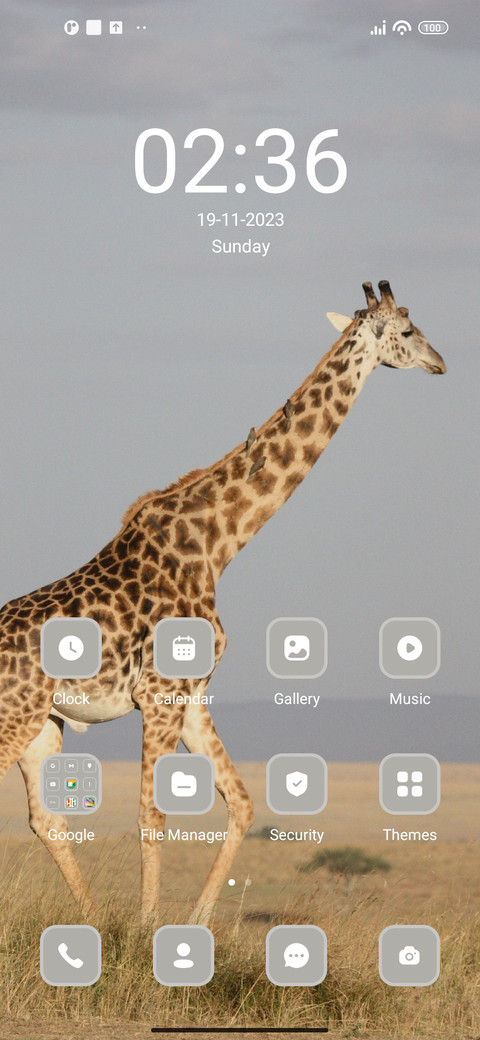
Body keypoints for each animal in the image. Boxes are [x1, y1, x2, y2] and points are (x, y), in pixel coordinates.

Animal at [0, 281, 446, 927]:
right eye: (409, 331)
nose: (441, 363)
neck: (219, 543)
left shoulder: (192, 697)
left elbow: (241, 803)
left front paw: (194, 925)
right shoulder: (159, 694)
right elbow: (152, 813)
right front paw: (147, 930)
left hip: (42, 724)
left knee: (45, 819)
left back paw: (89, 922)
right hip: (13, 719)